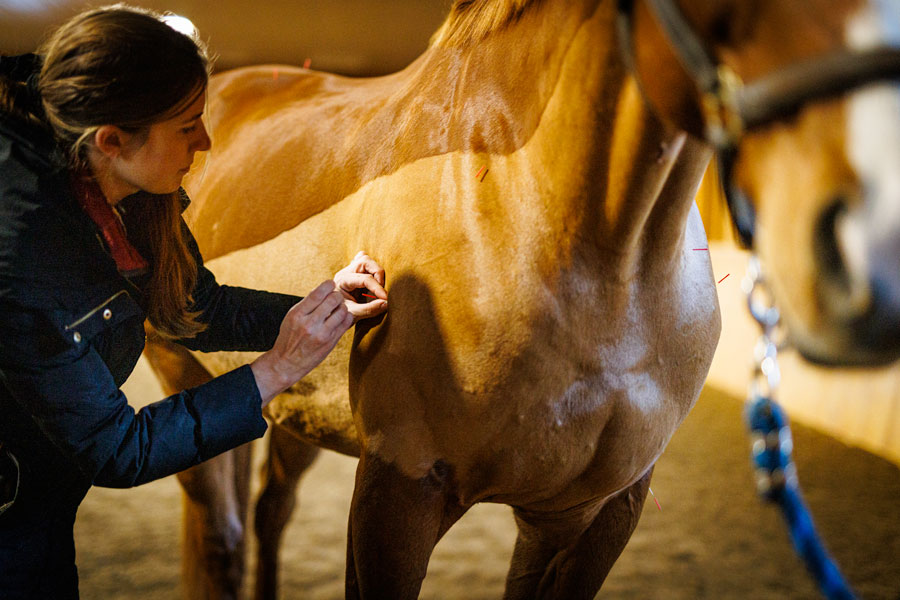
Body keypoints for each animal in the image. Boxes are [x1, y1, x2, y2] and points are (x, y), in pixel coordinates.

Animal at [142, 0, 900, 598]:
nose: (873, 246)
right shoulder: (396, 493)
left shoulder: (592, 513)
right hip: (189, 379)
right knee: (223, 538)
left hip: (296, 412)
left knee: (269, 514)